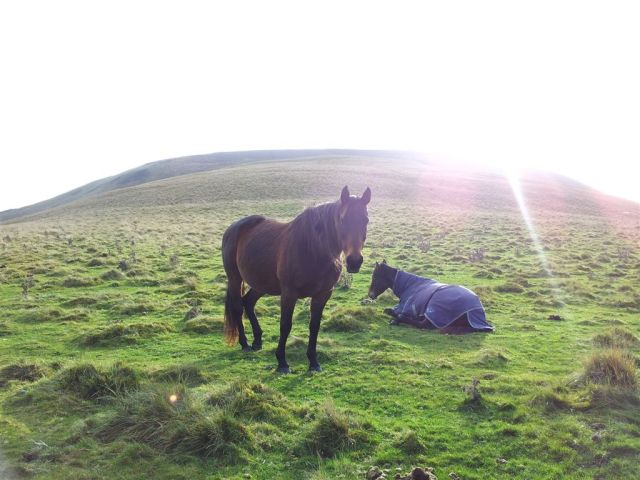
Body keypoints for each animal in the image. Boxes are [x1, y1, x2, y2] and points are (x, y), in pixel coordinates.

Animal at [222, 186, 371, 373]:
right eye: (343, 220)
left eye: (366, 220)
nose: (354, 261)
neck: (313, 248)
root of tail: (233, 228)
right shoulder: (289, 293)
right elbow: (285, 325)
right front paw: (282, 363)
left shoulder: (323, 294)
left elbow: (314, 326)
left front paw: (313, 362)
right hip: (235, 278)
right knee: (237, 307)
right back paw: (245, 344)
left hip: (262, 284)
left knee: (248, 302)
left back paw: (257, 341)